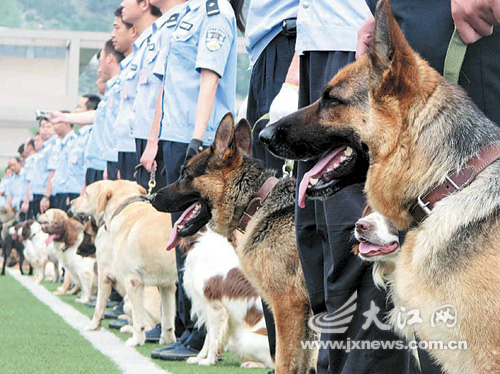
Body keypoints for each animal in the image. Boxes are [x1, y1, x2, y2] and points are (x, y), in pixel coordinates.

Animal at [71, 180, 178, 346]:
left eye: (87, 193)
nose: (70, 202)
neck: (126, 208)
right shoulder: (167, 285)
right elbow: (167, 320)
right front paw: (167, 341)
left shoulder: (127, 280)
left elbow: (101, 307)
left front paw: (136, 340)